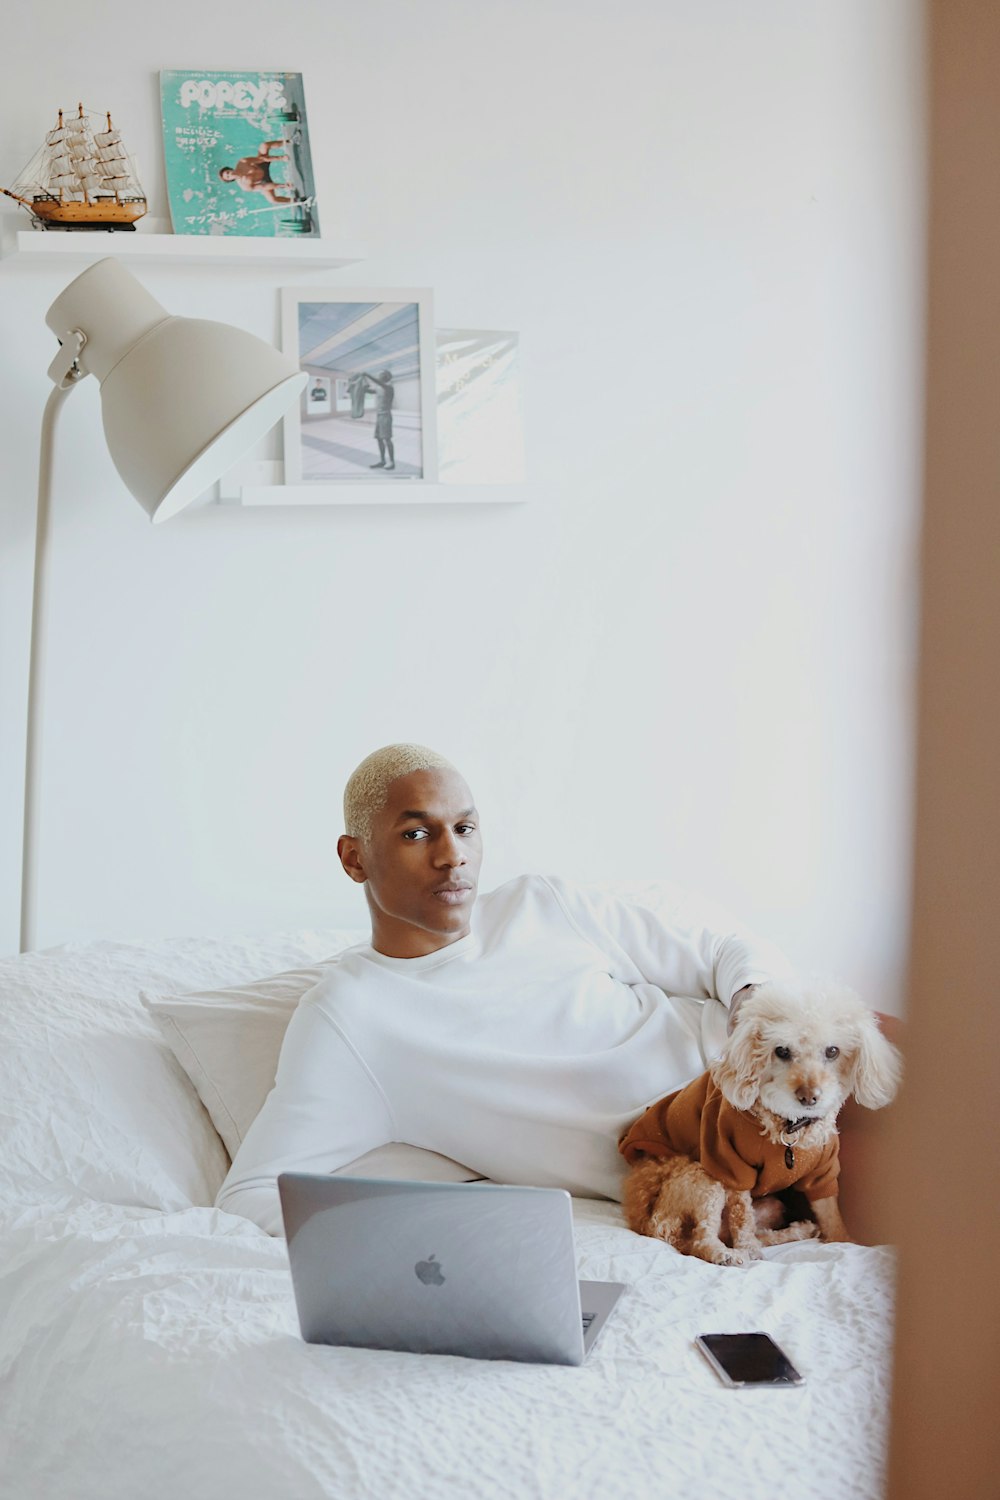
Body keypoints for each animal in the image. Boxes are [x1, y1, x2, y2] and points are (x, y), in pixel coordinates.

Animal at [620, 978, 905, 1260]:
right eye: (782, 1051)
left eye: (832, 1051)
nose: (809, 1096)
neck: (789, 1126)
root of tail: (644, 1220)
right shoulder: (732, 1164)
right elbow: (742, 1215)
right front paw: (746, 1247)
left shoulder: (823, 1169)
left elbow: (829, 1211)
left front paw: (843, 1240)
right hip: (702, 1178)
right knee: (699, 1239)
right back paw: (727, 1254)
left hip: (773, 1205)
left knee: (752, 1233)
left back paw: (799, 1231)